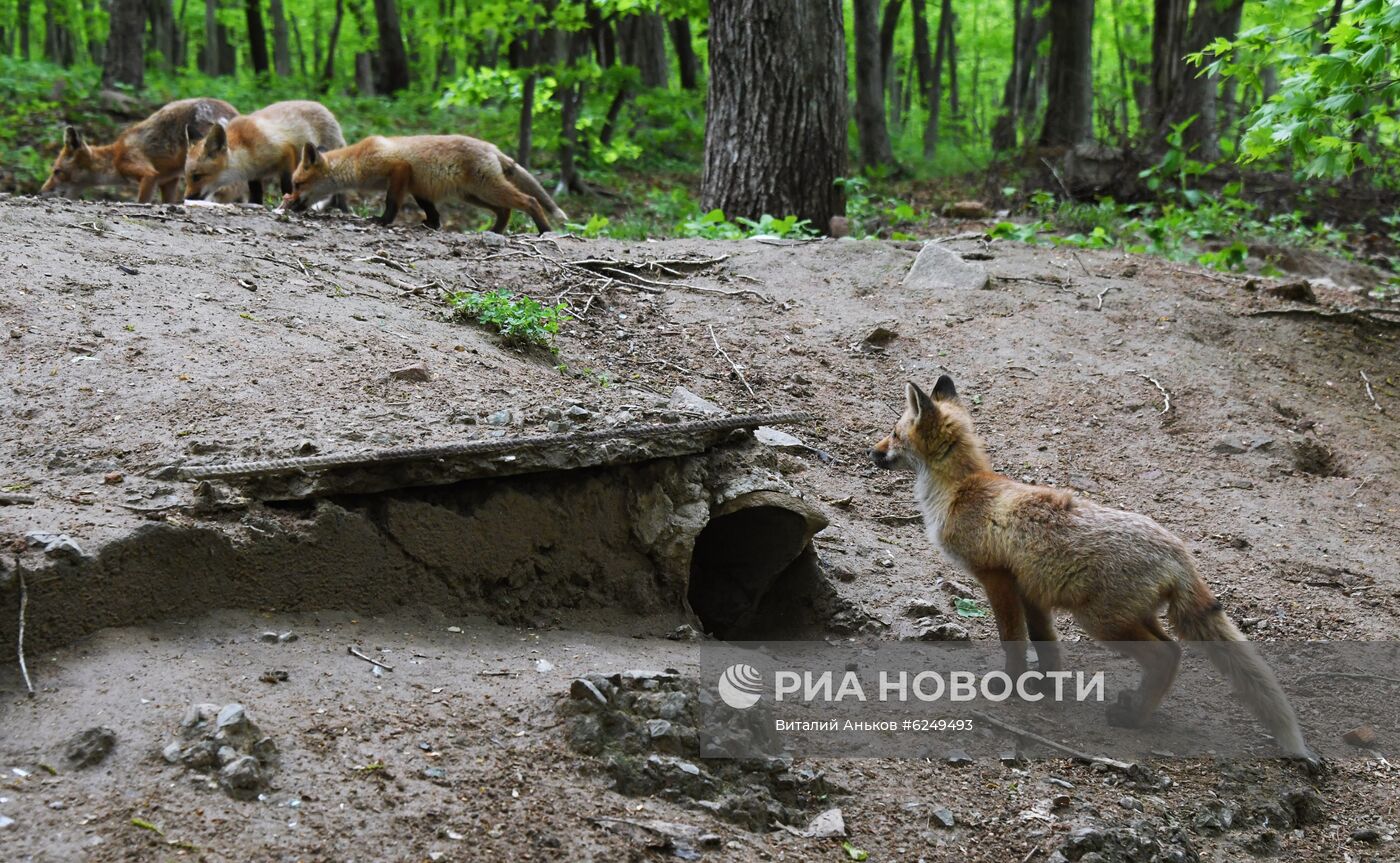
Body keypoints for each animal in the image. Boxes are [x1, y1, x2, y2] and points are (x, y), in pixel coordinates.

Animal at [40, 98, 238, 204]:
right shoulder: (168, 180)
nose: (41, 192)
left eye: (57, 172)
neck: (115, 158)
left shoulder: (146, 173)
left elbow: (142, 201)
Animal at [184, 100, 348, 207]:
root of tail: (327, 111)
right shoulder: (254, 174)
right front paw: (255, 204)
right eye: (187, 177)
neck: (246, 148)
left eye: (197, 176)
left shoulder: (285, 154)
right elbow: (256, 194)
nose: (186, 197)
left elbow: (287, 187)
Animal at [281, 133, 565, 232]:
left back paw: (544, 231)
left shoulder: (398, 170)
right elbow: (431, 210)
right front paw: (432, 224)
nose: (289, 203)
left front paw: (382, 221)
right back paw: (495, 232)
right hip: (474, 196)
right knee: (505, 210)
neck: (358, 160)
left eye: (297, 184)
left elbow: (391, 203)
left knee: (529, 201)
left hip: (488, 189)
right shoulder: (417, 186)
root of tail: (492, 147)